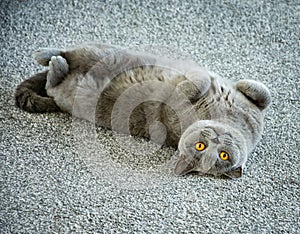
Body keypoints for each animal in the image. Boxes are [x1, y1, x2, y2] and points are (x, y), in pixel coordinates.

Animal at [14, 43, 272, 178]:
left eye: (222, 155)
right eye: (201, 146)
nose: (215, 139)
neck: (223, 117)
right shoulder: (253, 106)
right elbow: (263, 94)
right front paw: (211, 80)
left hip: (74, 96)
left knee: (53, 83)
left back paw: (56, 67)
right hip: (106, 52)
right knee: (70, 52)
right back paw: (46, 55)